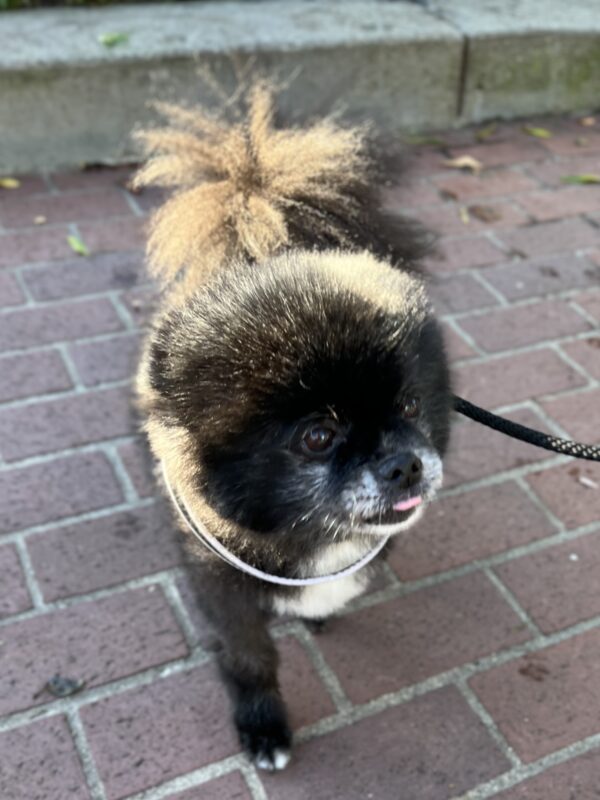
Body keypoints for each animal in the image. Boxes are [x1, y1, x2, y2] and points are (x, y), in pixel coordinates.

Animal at [132, 84, 450, 772]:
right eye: (316, 437)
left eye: (412, 406)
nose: (405, 463)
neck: (309, 536)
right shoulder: (222, 591)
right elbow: (249, 659)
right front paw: (263, 726)